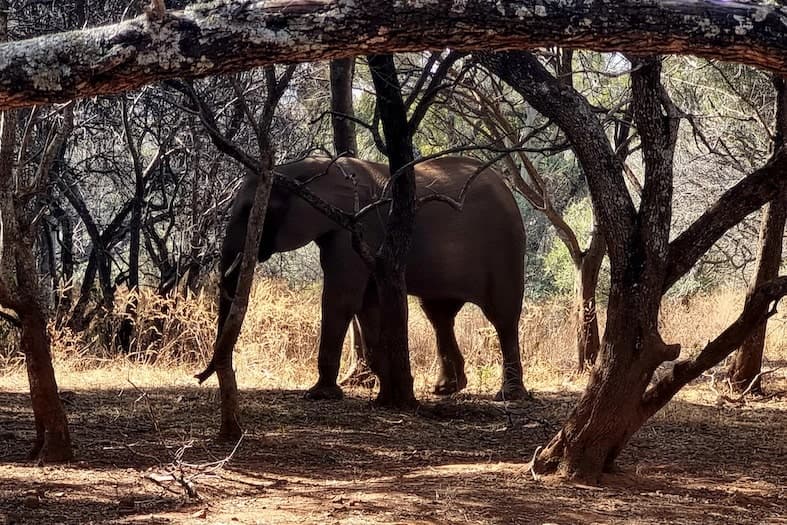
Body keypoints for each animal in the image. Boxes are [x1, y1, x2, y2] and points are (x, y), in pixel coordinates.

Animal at [217, 155, 528, 401]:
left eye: (249, 211)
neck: (305, 169)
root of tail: (507, 188)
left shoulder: (355, 228)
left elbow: (342, 300)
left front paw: (320, 394)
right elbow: (368, 304)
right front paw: (384, 389)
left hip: (505, 246)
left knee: (502, 316)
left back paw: (509, 395)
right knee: (439, 315)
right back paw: (445, 389)